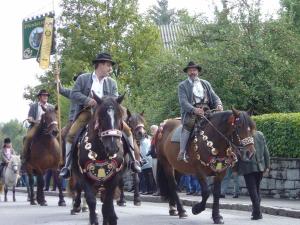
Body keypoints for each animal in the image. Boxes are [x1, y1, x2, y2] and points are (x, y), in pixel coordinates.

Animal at [73, 94, 126, 225]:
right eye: (101, 117)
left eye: (120, 116)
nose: (112, 148)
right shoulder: (84, 177)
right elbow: (91, 200)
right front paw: (94, 220)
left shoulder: (114, 178)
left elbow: (107, 203)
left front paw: (111, 218)